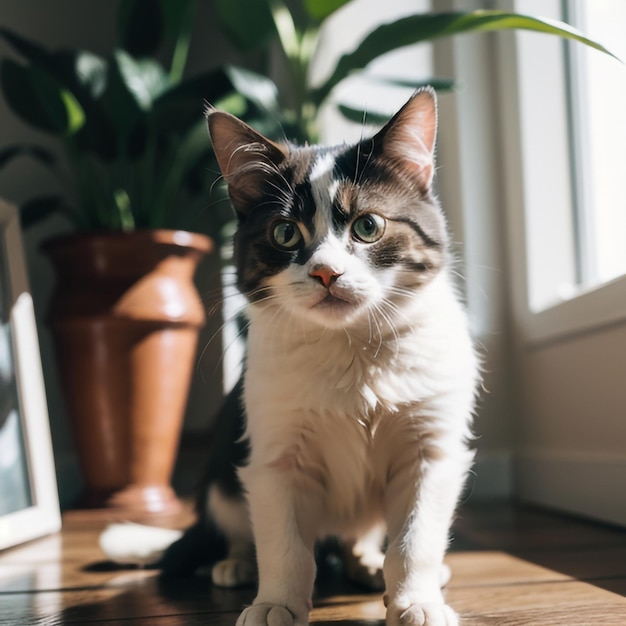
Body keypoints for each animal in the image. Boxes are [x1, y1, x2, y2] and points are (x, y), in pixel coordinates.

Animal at [100, 88, 476, 624]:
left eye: (368, 226)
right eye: (285, 234)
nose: (326, 272)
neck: (349, 348)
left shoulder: (431, 448)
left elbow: (415, 537)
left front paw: (416, 600)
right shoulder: (274, 454)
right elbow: (283, 542)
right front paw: (276, 601)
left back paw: (366, 562)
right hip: (224, 465)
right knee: (237, 524)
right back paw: (237, 564)